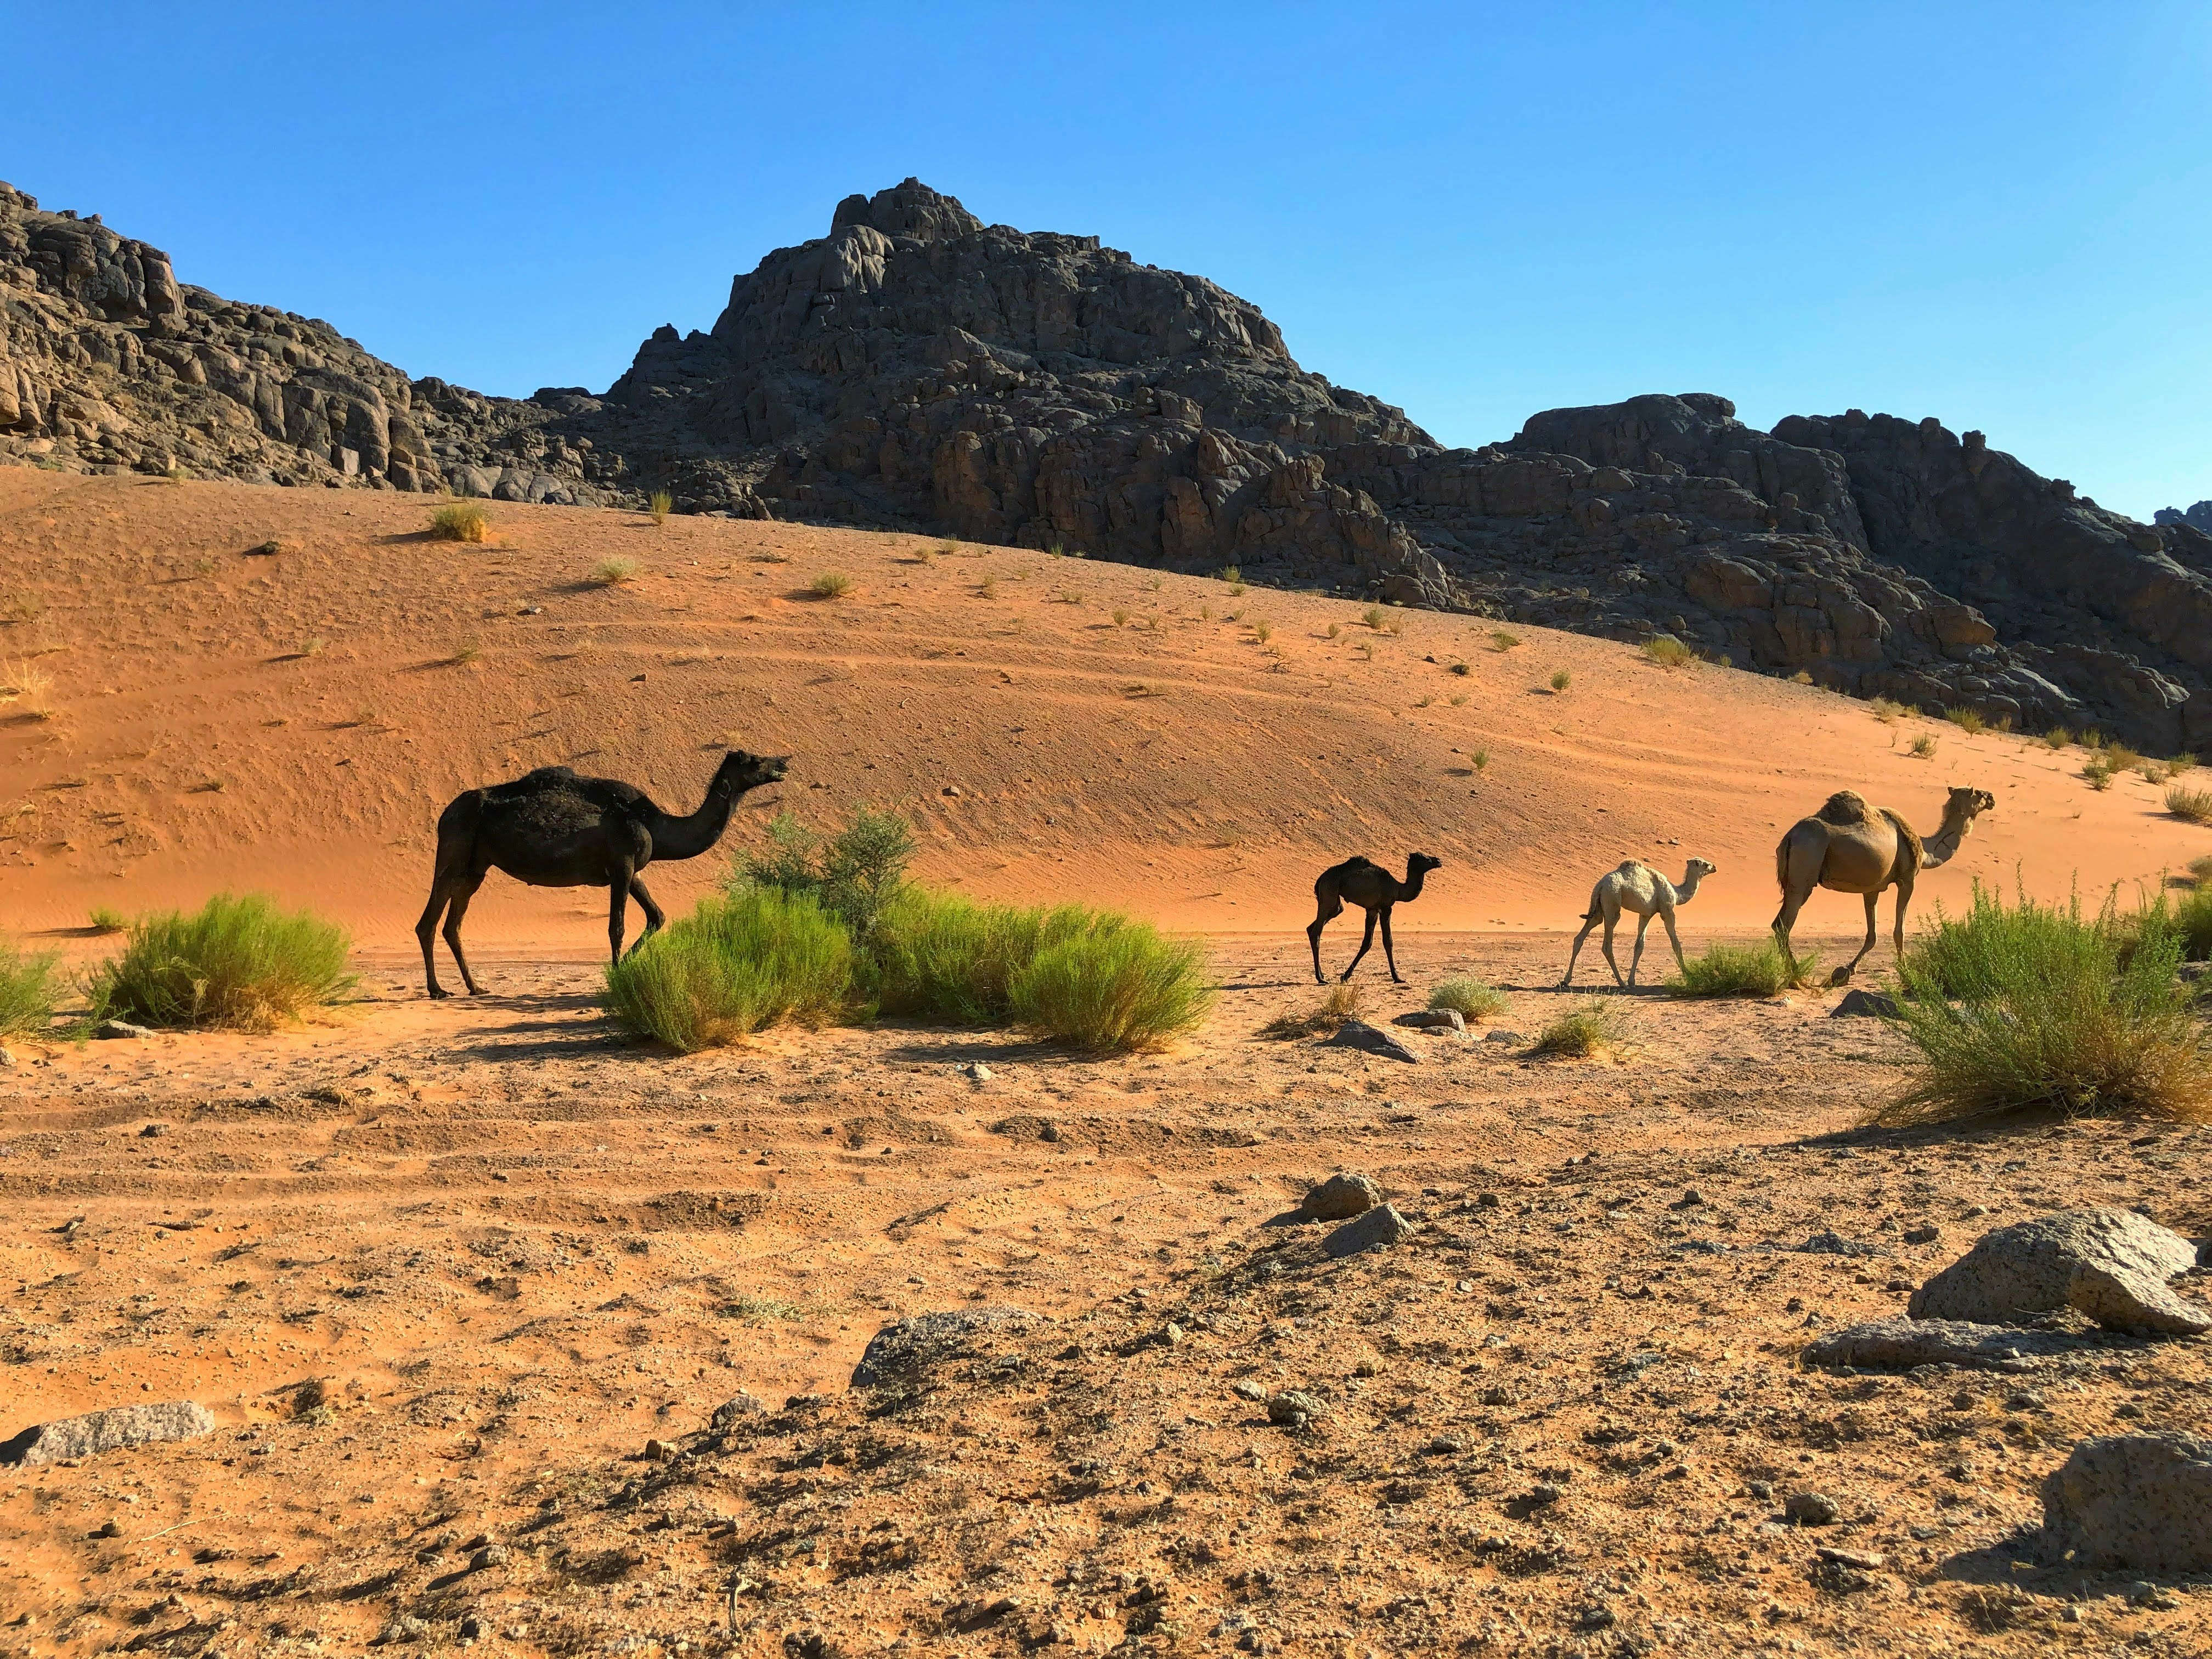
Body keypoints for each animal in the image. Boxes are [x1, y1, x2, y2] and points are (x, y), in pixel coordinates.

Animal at [416, 749, 788, 998]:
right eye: (754, 761)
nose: (784, 764)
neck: (656, 824)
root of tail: (446, 812)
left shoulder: (633, 871)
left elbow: (657, 916)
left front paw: (624, 968)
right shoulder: (622, 864)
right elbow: (616, 927)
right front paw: (617, 975)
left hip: (477, 866)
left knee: (452, 924)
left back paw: (475, 987)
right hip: (455, 847)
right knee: (429, 921)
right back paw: (438, 990)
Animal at [1307, 853, 1441, 984]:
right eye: (1426, 858)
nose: (1438, 861)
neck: (1398, 889)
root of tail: (1321, 879)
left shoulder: (1373, 910)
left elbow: (1367, 942)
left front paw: (1345, 976)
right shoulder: (1386, 908)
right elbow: (1388, 941)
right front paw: (1397, 978)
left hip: (1335, 903)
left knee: (1315, 925)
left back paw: (1322, 975)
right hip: (1329, 890)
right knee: (1316, 932)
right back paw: (1320, 978)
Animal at [1561, 857, 1718, 988]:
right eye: (1705, 864)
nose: (1715, 867)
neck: (1676, 892)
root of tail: (1601, 885)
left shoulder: (1646, 914)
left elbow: (1639, 946)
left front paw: (1632, 981)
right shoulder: (1667, 911)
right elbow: (1676, 944)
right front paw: (1687, 975)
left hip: (1598, 906)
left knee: (1581, 936)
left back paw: (1566, 980)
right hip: (1612, 899)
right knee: (1607, 944)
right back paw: (1621, 983)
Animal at [1773, 787, 1993, 985]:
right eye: (1977, 793)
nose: (1992, 797)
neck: (1926, 852)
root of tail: (1790, 836)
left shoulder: (1872, 889)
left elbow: (1872, 935)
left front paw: (1847, 971)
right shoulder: (1908, 880)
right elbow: (1899, 931)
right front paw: (1906, 974)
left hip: (1793, 883)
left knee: (1777, 924)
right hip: (1805, 872)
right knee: (1784, 926)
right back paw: (1797, 978)